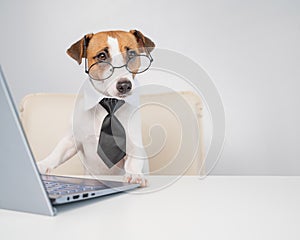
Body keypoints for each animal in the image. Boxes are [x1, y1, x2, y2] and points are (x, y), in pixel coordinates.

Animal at [37, 30, 155, 187]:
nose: (125, 85)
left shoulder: (132, 141)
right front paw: (43, 164)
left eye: (131, 54)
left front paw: (134, 174)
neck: (109, 102)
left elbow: (133, 160)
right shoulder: (72, 139)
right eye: (102, 56)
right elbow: (58, 152)